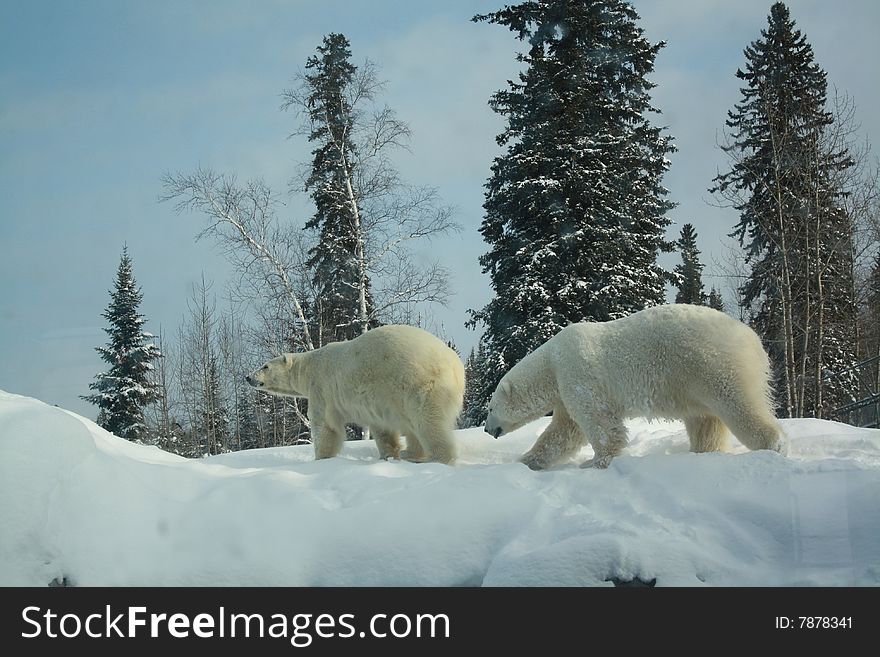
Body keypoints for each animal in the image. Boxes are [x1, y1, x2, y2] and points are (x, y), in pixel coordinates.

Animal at [244, 326, 464, 464]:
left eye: (265, 366)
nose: (248, 377)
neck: (309, 365)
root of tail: (456, 366)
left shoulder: (321, 387)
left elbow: (325, 425)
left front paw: (320, 459)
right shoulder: (378, 401)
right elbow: (383, 430)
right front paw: (388, 456)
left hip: (419, 384)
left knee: (428, 422)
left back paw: (437, 458)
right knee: (413, 426)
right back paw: (410, 453)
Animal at [484, 304, 788, 468]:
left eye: (489, 408)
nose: (487, 430)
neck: (551, 361)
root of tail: (752, 340)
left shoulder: (577, 373)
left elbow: (598, 422)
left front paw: (595, 461)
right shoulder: (564, 390)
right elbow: (563, 431)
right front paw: (527, 460)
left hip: (713, 365)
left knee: (739, 406)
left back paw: (773, 445)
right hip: (693, 382)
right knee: (705, 421)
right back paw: (703, 452)